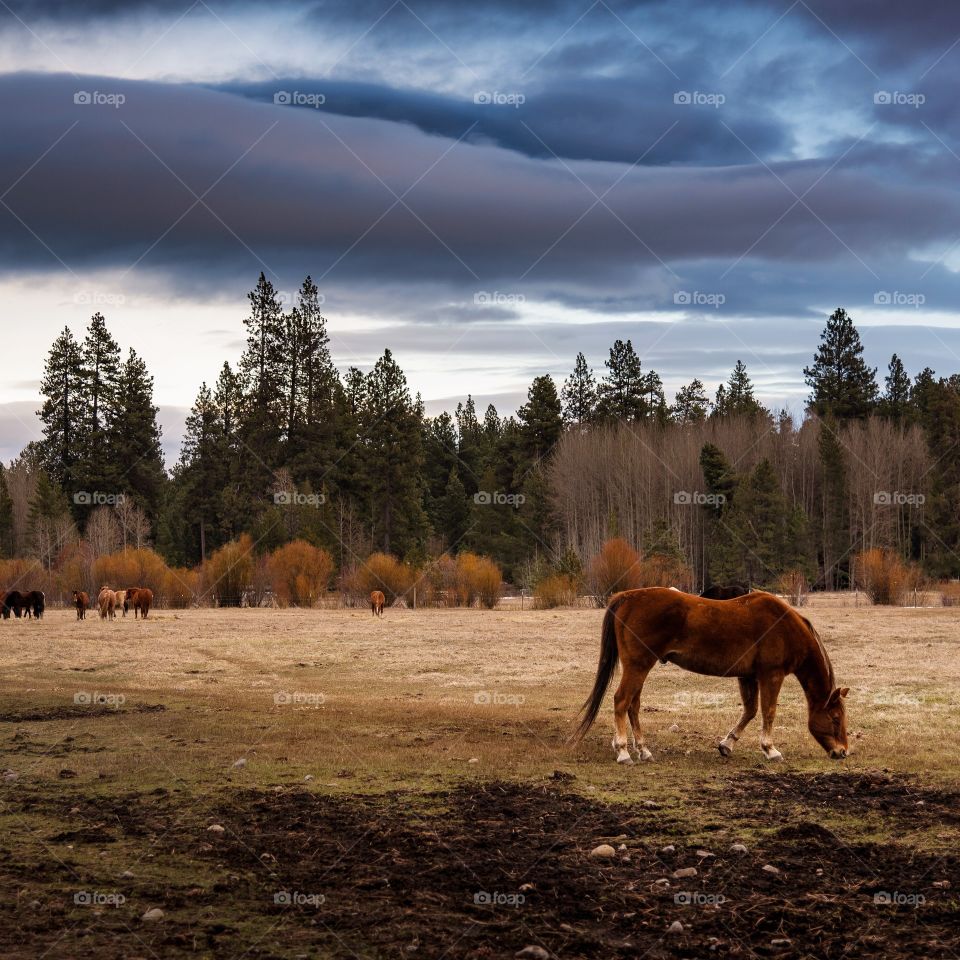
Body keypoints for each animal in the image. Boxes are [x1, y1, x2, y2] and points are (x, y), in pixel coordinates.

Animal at [572, 584, 852, 764]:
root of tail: (627, 596)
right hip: (638, 666)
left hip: (639, 667)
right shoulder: (771, 675)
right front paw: (770, 750)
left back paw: (643, 750)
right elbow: (768, 712)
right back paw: (623, 752)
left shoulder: (747, 676)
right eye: (835, 718)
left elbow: (750, 711)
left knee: (633, 705)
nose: (842, 752)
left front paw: (727, 744)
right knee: (622, 701)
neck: (785, 626)